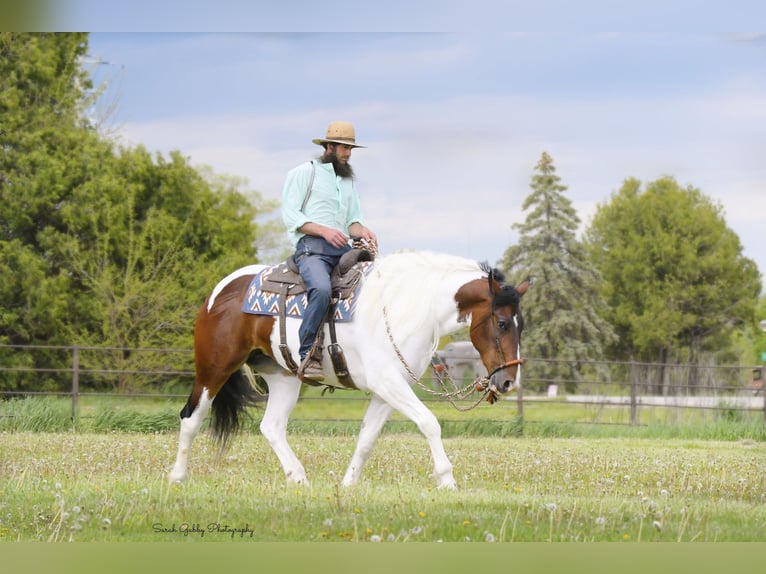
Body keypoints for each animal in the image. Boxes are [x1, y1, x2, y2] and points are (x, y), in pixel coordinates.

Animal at [168, 251, 528, 490]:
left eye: (520, 325)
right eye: (500, 323)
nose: (508, 380)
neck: (408, 306)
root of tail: (220, 291)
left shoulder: (387, 391)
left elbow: (367, 438)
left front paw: (348, 484)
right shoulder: (389, 383)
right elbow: (429, 422)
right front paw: (447, 479)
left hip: (284, 378)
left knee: (271, 427)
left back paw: (298, 477)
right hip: (214, 369)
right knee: (191, 417)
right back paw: (178, 477)